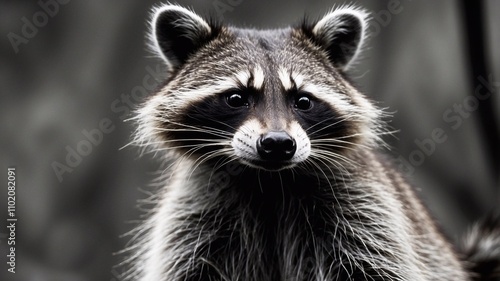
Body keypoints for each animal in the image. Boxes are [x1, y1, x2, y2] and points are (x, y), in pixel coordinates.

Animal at [126, 3, 500, 280]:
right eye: (236, 98)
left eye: (303, 100)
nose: (278, 143)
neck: (269, 182)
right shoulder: (193, 214)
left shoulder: (367, 211)